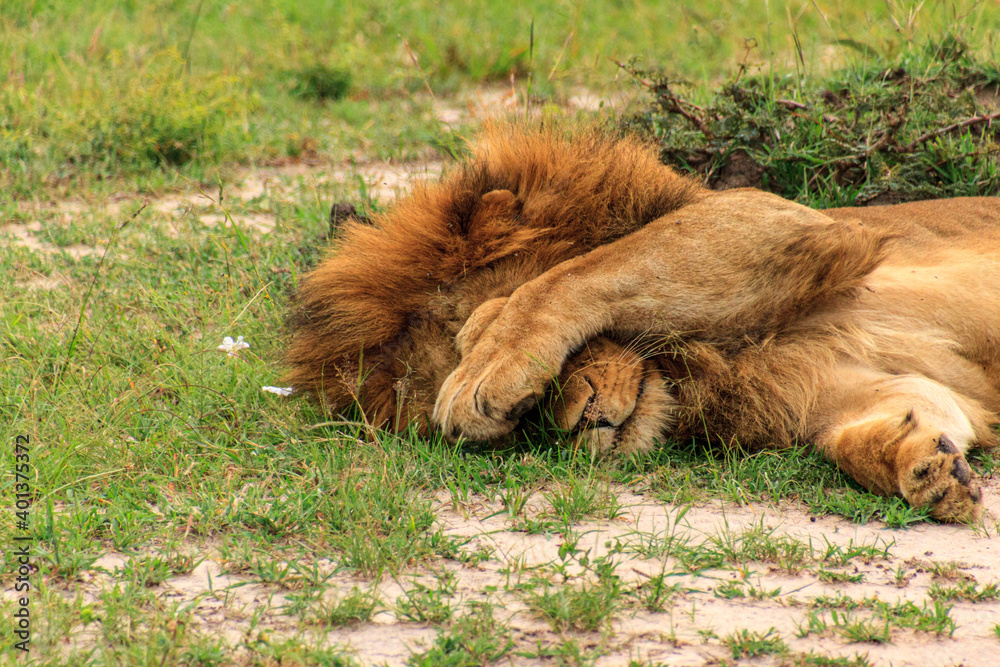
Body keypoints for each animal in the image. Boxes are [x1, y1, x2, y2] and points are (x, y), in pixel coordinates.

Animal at [286, 123, 1000, 522]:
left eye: (526, 407)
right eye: (524, 427)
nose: (580, 426)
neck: (701, 362)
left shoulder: (786, 221)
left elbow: (588, 268)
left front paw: (483, 361)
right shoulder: (836, 383)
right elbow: (878, 426)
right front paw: (928, 470)